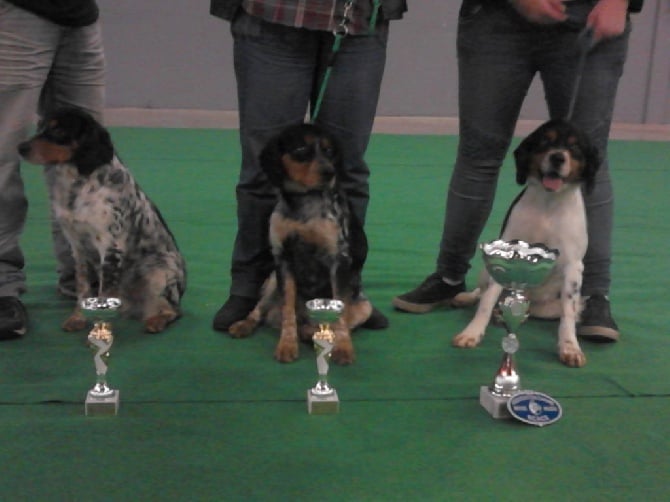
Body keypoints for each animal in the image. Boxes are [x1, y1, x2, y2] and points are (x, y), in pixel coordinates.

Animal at [18, 107, 186, 334]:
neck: (80, 185)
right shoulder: (78, 246)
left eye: (59, 130)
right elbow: (83, 290)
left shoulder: (110, 246)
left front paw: (100, 331)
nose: (21, 147)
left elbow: (104, 295)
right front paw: (77, 318)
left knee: (172, 310)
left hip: (157, 273)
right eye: (41, 127)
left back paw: (156, 320)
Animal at [228, 123, 376, 362]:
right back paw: (244, 325)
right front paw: (287, 345)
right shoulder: (283, 259)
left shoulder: (338, 259)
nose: (329, 172)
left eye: (329, 151)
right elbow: (288, 310)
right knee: (261, 311)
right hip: (272, 281)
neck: (303, 204)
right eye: (300, 149)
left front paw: (344, 348)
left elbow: (341, 314)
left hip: (365, 307)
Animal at [454, 119, 600, 366]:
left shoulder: (573, 266)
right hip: (486, 270)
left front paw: (570, 347)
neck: (548, 204)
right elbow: (487, 300)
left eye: (575, 146)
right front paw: (472, 332)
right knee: (482, 293)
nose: (557, 157)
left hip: (553, 306)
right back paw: (471, 299)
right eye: (545, 141)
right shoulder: (505, 255)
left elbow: (568, 313)